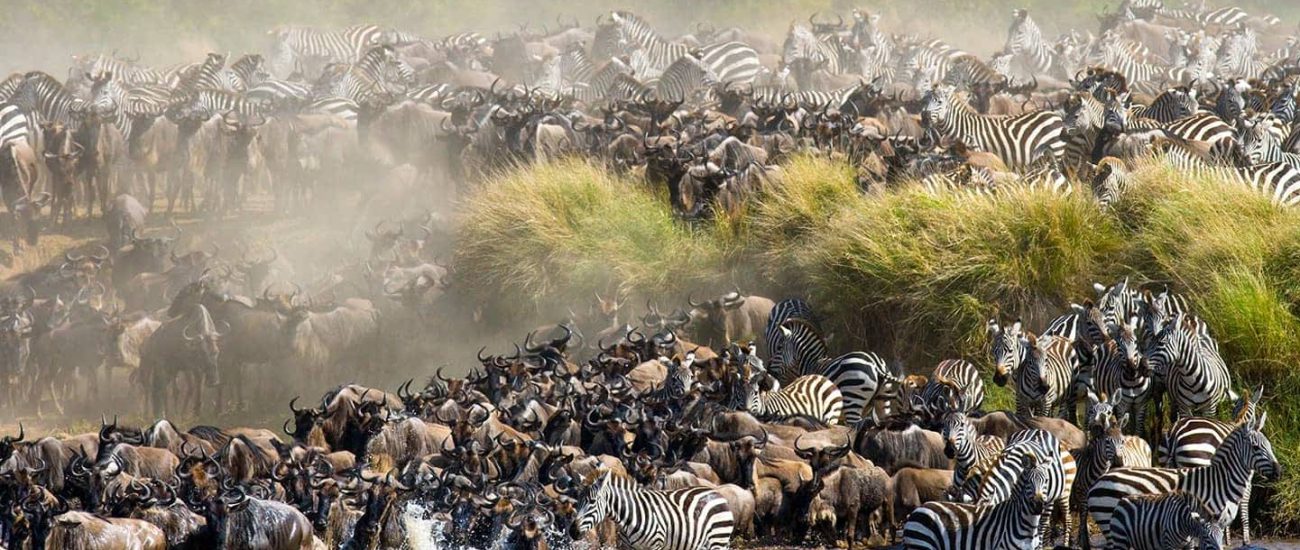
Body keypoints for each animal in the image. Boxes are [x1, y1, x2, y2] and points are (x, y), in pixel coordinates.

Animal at [574, 470, 738, 550]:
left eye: (592, 502)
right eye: (577, 502)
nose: (572, 531)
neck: (630, 516)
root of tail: (717, 493)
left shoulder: (655, 545)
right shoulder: (628, 548)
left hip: (718, 539)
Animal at [904, 457, 1055, 550]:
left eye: (1047, 481)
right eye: (1028, 482)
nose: (1038, 505)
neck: (1030, 525)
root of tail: (918, 510)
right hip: (922, 544)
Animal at [920, 85, 1060, 171]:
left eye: (939, 102)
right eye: (925, 101)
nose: (924, 116)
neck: (963, 126)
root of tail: (1053, 114)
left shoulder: (977, 152)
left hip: (1056, 151)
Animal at [1086, 418, 1279, 546]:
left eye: (1270, 445)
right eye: (1256, 448)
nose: (1279, 471)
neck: (1219, 483)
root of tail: (1099, 481)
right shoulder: (1205, 521)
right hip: (1109, 522)